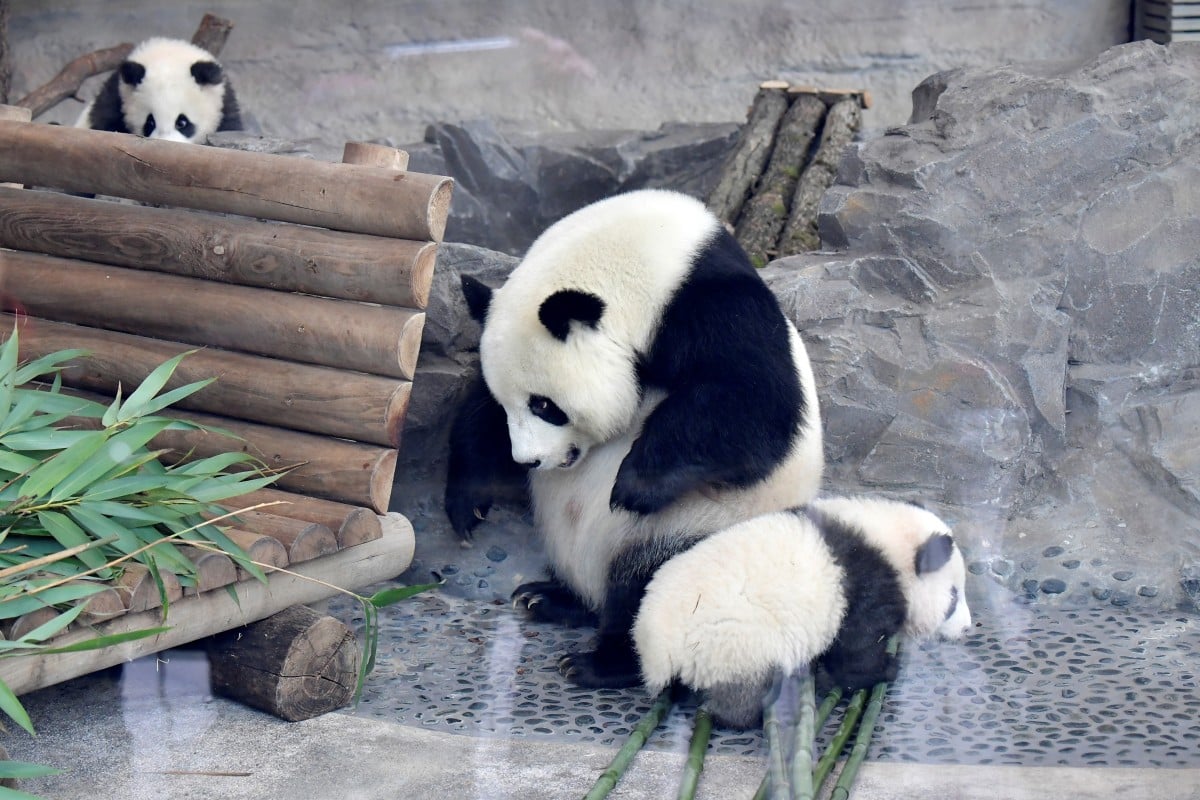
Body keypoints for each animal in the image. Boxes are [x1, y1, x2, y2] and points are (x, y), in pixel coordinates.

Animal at [448, 189, 825, 690]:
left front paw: (633, 486)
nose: (527, 460)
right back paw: (550, 598)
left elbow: (753, 401)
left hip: (704, 528)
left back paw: (601, 662)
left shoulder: (710, 307)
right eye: (511, 403)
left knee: (653, 590)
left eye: (545, 405)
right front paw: (467, 502)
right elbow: (477, 414)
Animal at [633, 496, 969, 729]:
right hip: (733, 642)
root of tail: (657, 644)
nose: (967, 630)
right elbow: (857, 647)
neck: (888, 542)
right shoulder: (863, 584)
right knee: (742, 689)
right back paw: (741, 716)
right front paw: (884, 668)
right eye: (953, 599)